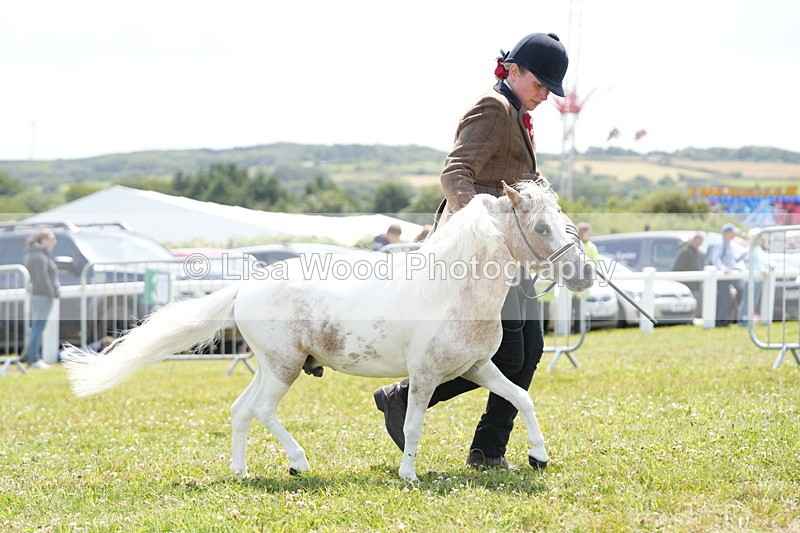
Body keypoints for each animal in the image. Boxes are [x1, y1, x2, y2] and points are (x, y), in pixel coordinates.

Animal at [64, 180, 593, 482]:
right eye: (541, 228)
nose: (585, 275)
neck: (451, 291)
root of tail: (244, 287)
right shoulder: (425, 375)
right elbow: (414, 423)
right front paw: (408, 475)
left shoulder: (478, 367)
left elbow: (521, 398)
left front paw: (539, 457)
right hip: (284, 368)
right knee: (262, 411)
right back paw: (298, 463)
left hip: (271, 365)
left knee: (240, 411)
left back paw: (240, 472)